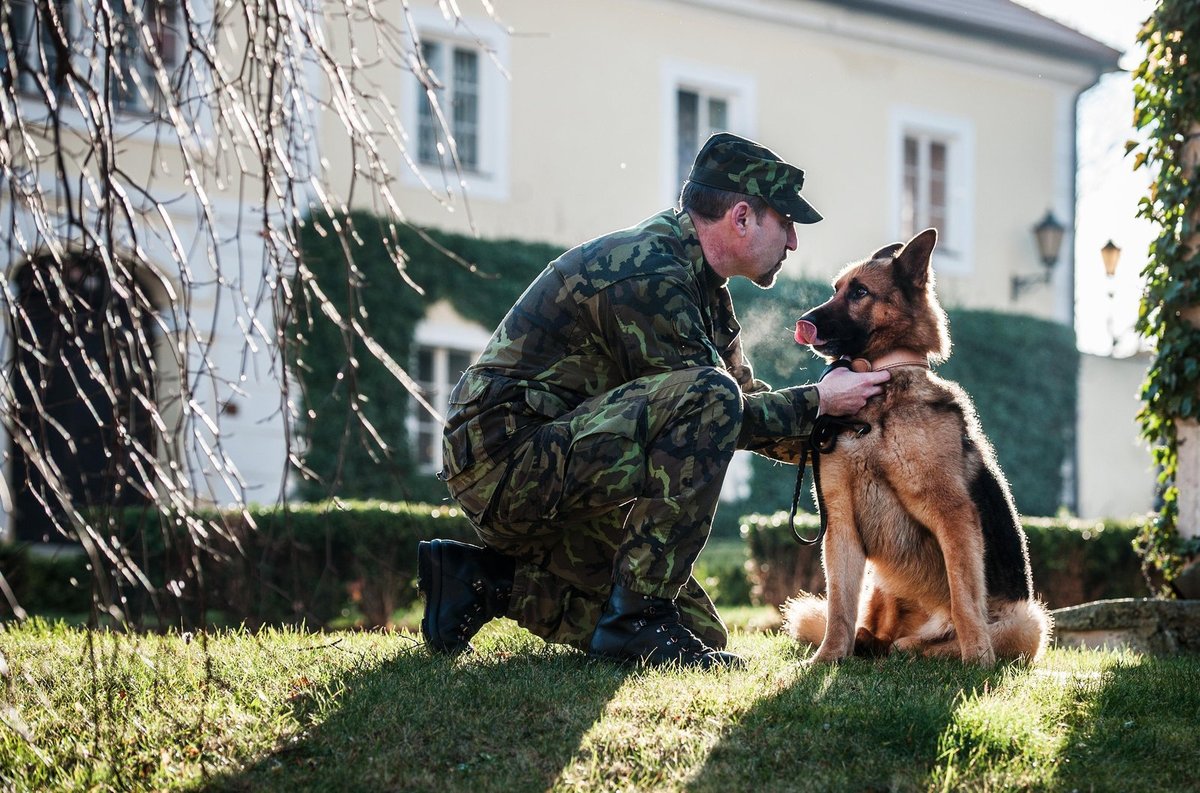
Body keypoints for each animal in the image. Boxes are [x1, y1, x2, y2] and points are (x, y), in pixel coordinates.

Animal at [782, 226, 1046, 662]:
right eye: (836, 289)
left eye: (860, 292)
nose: (803, 322)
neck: (881, 395)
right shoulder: (840, 524)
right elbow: (839, 605)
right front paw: (828, 658)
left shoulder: (953, 514)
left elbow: (964, 597)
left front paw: (979, 661)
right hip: (879, 583)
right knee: (871, 626)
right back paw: (870, 641)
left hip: (1029, 621)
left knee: (931, 641)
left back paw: (923, 648)